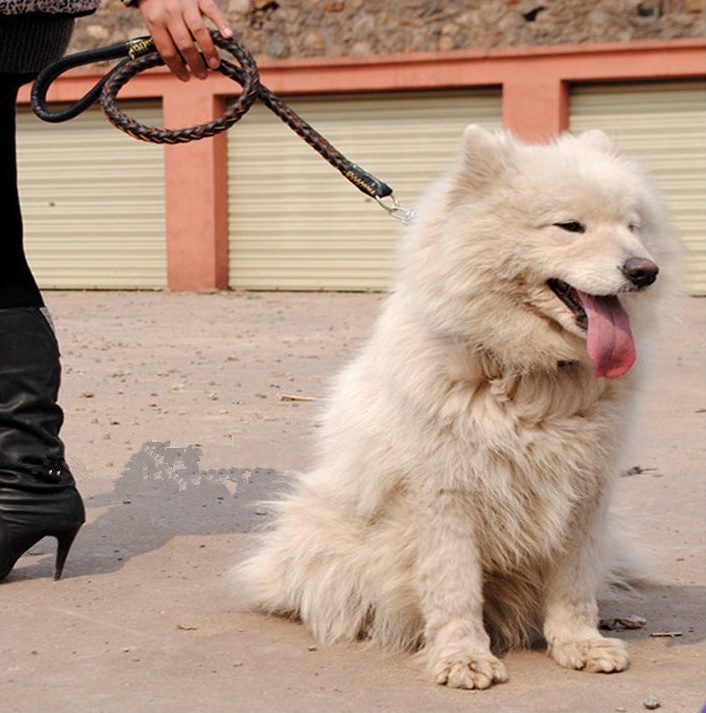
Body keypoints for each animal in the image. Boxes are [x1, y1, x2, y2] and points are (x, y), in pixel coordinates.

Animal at [236, 125, 676, 688]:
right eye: (570, 226)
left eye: (633, 227)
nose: (645, 270)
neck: (527, 375)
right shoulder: (446, 496)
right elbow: (454, 589)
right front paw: (463, 658)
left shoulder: (584, 493)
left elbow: (573, 586)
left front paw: (580, 644)